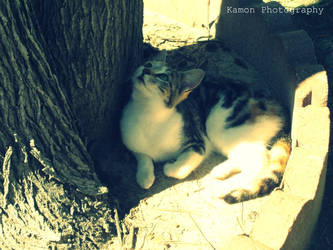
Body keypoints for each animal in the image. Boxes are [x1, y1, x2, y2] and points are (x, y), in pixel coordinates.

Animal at [120, 51, 290, 204]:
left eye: (163, 77)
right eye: (148, 64)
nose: (145, 70)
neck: (147, 113)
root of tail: (278, 107)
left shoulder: (198, 142)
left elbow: (181, 168)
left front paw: (169, 168)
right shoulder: (131, 141)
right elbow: (143, 155)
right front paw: (145, 175)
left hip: (219, 126)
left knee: (260, 162)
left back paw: (223, 188)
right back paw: (221, 170)